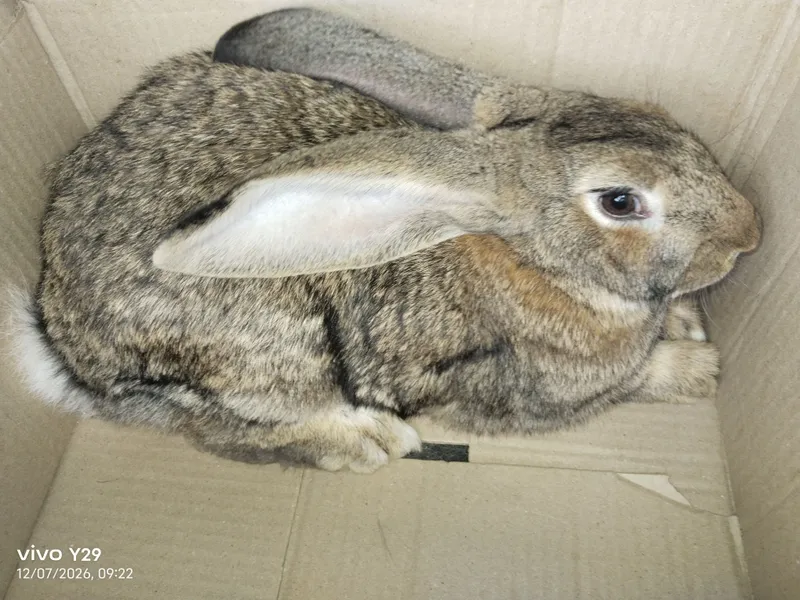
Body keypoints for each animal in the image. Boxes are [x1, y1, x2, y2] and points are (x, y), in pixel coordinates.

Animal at [10, 8, 760, 474]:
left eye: (665, 119)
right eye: (620, 202)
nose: (749, 232)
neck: (539, 262)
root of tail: (63, 343)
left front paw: (688, 325)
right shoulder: (532, 394)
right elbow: (638, 381)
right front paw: (699, 368)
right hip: (278, 360)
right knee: (221, 431)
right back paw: (370, 441)